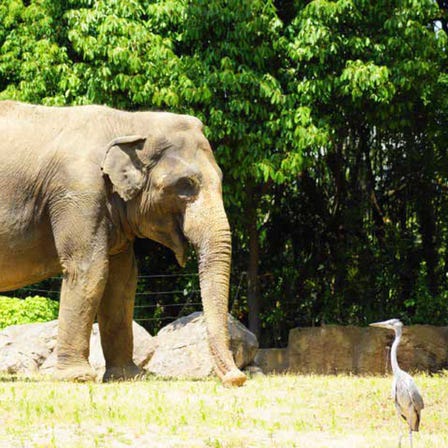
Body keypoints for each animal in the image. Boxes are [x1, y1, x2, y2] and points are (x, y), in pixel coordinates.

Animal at [0, 100, 245, 386]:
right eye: (185, 185)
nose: (237, 378)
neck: (130, 123)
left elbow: (123, 278)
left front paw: (127, 377)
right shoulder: (79, 191)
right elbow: (90, 268)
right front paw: (77, 378)